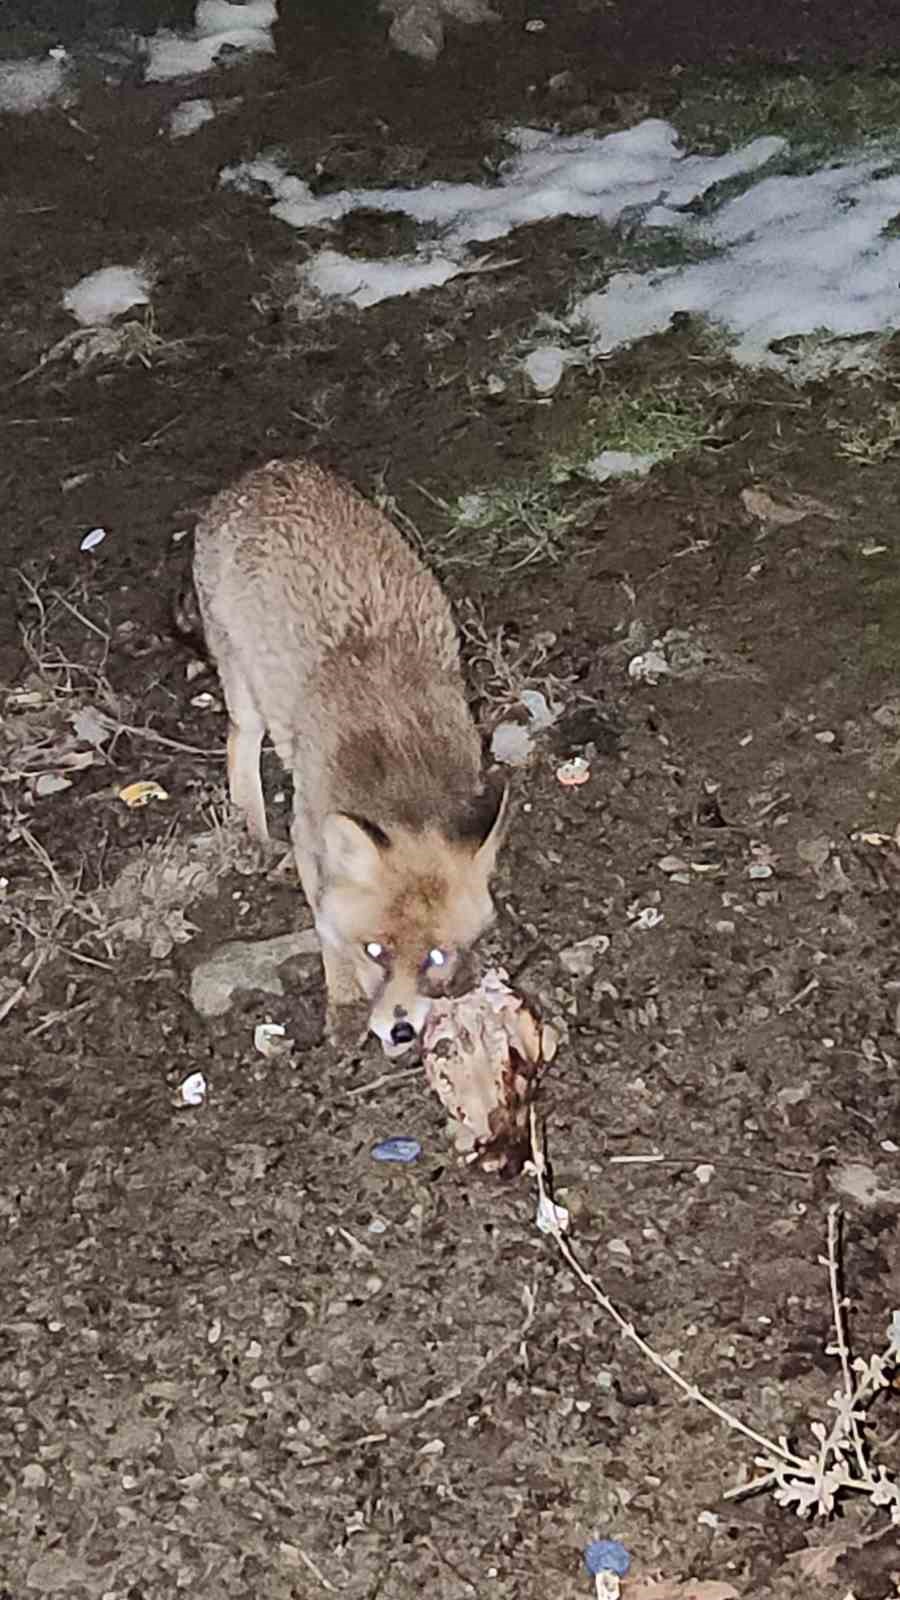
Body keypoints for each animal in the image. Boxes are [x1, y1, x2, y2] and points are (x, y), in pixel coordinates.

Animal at [189, 464, 509, 1056]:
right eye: (374, 952)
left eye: (434, 956)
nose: (401, 1030)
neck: (401, 776)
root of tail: (267, 471)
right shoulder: (310, 831)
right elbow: (326, 930)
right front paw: (344, 1005)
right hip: (246, 688)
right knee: (239, 746)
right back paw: (254, 833)